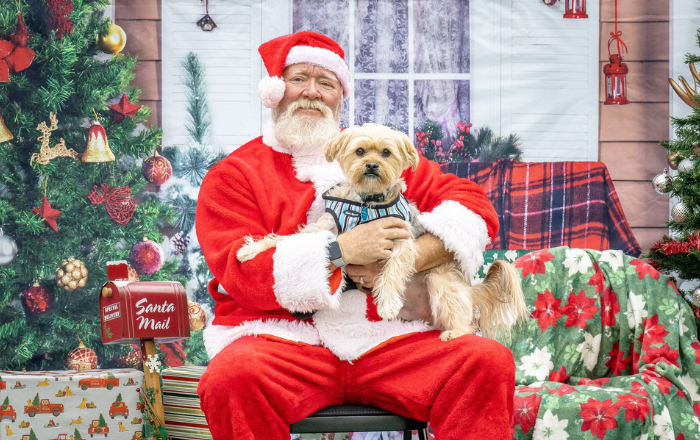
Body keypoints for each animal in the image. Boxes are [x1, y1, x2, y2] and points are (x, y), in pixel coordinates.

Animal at [237, 124, 524, 340]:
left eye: (386, 152)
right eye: (360, 151)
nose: (372, 165)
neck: (367, 204)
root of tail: (470, 290)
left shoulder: (401, 239)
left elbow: (393, 269)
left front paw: (386, 302)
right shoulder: (323, 228)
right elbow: (288, 239)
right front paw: (252, 248)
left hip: (440, 280)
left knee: (467, 321)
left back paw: (456, 331)